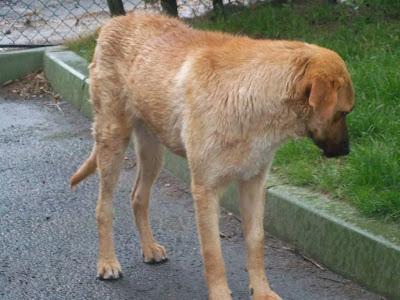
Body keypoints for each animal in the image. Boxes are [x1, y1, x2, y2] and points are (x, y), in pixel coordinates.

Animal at [70, 11, 354, 300]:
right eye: (343, 112)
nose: (347, 151)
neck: (250, 96)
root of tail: (117, 20)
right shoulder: (205, 190)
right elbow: (213, 253)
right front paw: (221, 294)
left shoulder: (253, 184)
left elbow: (256, 241)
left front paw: (262, 291)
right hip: (112, 143)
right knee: (104, 207)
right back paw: (107, 262)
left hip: (153, 152)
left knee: (138, 197)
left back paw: (149, 248)